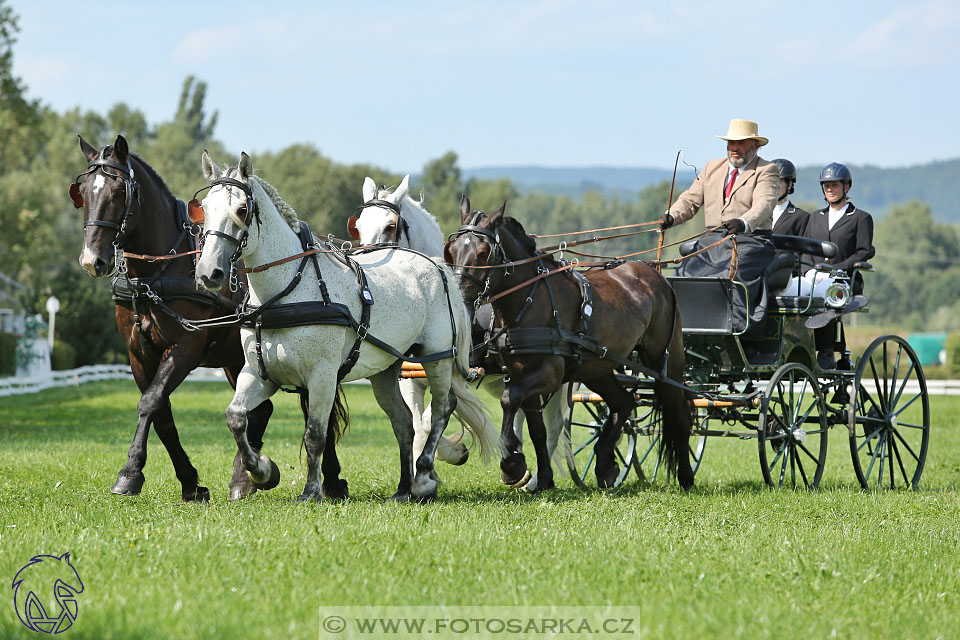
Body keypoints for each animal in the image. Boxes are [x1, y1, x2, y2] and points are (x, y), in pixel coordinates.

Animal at [69, 135, 280, 502]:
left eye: (119, 192)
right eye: (83, 193)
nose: (91, 260)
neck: (156, 273)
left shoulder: (186, 347)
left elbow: (150, 402)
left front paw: (130, 473)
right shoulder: (138, 353)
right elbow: (161, 413)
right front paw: (190, 482)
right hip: (234, 359)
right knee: (258, 410)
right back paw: (245, 476)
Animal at [192, 152, 498, 502]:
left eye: (242, 210)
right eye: (205, 208)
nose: (208, 272)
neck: (288, 291)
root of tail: (436, 265)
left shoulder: (322, 376)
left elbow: (315, 434)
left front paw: (311, 491)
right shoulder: (258, 374)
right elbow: (235, 417)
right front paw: (263, 472)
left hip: (436, 357)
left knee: (442, 409)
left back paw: (422, 477)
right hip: (386, 369)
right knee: (403, 420)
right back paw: (403, 488)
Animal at [446, 199, 692, 490]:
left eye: (484, 252)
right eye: (452, 250)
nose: (457, 295)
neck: (529, 299)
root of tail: (655, 273)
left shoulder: (550, 373)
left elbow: (509, 399)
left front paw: (511, 463)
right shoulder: (520, 373)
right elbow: (537, 429)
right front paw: (543, 478)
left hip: (666, 359)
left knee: (678, 412)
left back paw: (686, 475)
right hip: (597, 367)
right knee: (623, 402)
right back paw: (605, 464)